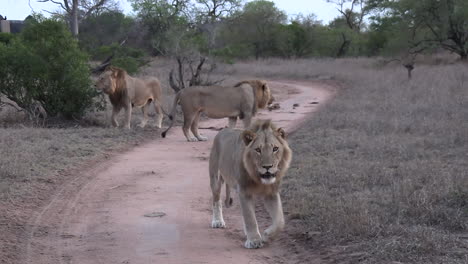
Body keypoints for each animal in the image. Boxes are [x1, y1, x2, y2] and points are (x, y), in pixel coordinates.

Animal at [209, 119, 292, 250]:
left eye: (275, 149)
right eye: (258, 150)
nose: (267, 167)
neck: (258, 177)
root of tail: (223, 130)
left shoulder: (271, 193)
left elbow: (280, 221)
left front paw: (266, 235)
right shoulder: (244, 191)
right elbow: (250, 218)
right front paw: (254, 240)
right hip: (216, 178)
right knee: (216, 200)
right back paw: (217, 221)